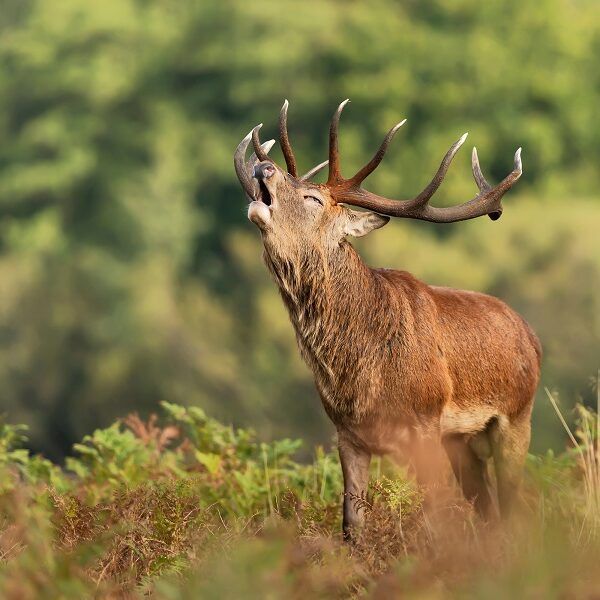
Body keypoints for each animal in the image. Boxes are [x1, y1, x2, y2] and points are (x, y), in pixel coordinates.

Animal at [233, 99, 540, 540]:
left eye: (313, 199)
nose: (264, 167)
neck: (362, 372)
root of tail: (530, 336)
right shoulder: (347, 433)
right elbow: (351, 524)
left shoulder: (425, 423)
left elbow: (436, 520)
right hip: (463, 441)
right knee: (487, 507)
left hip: (517, 416)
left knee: (512, 506)